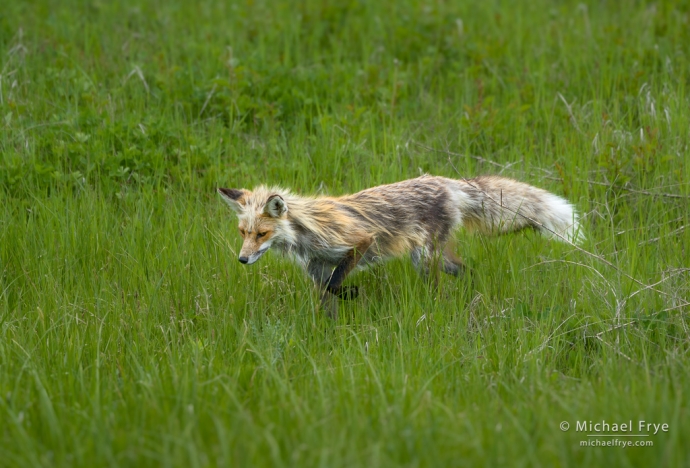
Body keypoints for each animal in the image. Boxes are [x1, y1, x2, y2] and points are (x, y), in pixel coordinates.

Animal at [219, 174, 580, 312]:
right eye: (243, 232)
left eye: (261, 234)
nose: (242, 260)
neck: (306, 232)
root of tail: (447, 182)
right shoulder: (318, 267)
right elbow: (328, 291)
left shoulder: (359, 240)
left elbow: (335, 283)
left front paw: (354, 293)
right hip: (436, 258)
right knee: (468, 270)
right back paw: (472, 295)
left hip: (424, 257)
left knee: (444, 282)